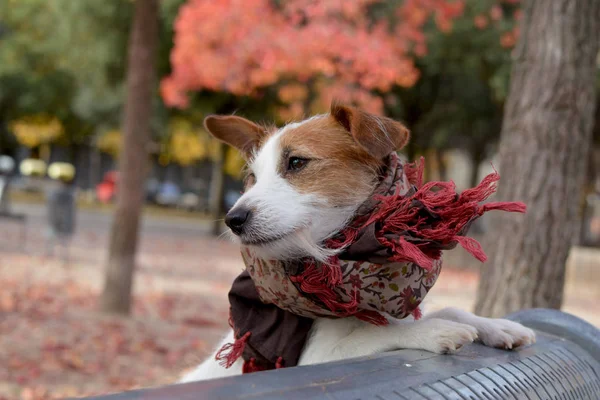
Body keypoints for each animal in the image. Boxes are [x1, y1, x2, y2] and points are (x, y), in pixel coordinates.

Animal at [178, 102, 536, 382]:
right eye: (252, 177)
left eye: (296, 162)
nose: (233, 219)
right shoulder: (314, 359)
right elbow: (379, 331)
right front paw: (436, 330)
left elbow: (449, 307)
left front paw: (498, 326)